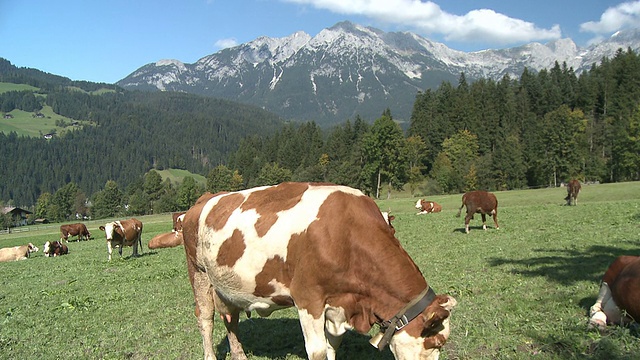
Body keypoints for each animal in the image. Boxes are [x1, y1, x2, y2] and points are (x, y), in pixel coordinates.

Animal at [182, 183, 458, 360]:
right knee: (205, 319)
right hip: (199, 274)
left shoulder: (338, 304)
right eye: (438, 342)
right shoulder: (308, 298)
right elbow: (317, 351)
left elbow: (332, 345)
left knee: (231, 318)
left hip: (229, 286)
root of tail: (205, 198)